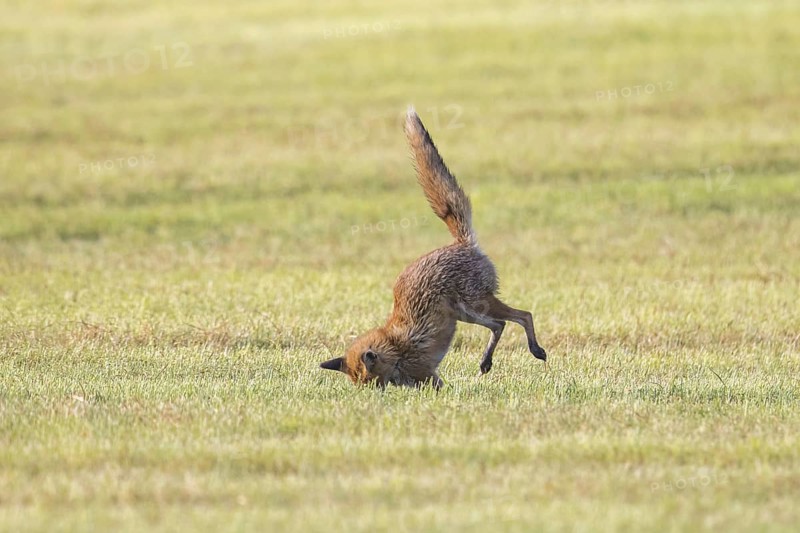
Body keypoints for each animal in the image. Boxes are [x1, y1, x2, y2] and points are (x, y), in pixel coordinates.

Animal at [320, 108, 547, 389]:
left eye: (370, 382)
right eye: (360, 384)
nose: (370, 394)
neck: (396, 348)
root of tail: (462, 243)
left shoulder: (428, 374)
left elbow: (440, 387)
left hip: (476, 304)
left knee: (523, 315)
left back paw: (535, 350)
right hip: (467, 314)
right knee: (500, 324)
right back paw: (486, 362)